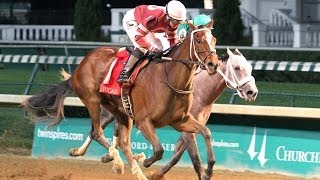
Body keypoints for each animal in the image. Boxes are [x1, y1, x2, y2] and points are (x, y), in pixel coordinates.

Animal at [20, 21, 220, 180]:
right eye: (199, 40)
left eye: (214, 40)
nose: (213, 64)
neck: (169, 78)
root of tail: (79, 67)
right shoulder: (144, 121)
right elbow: (159, 150)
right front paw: (147, 162)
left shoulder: (180, 121)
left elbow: (207, 132)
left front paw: (209, 169)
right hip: (92, 100)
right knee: (98, 133)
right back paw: (118, 163)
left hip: (121, 111)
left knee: (121, 142)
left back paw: (132, 168)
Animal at [67, 47, 258, 180]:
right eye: (237, 68)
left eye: (250, 68)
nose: (252, 92)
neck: (201, 91)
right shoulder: (186, 129)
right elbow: (193, 158)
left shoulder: (187, 124)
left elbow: (177, 154)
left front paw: (157, 173)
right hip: (105, 109)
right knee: (96, 130)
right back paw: (88, 153)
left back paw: (108, 156)